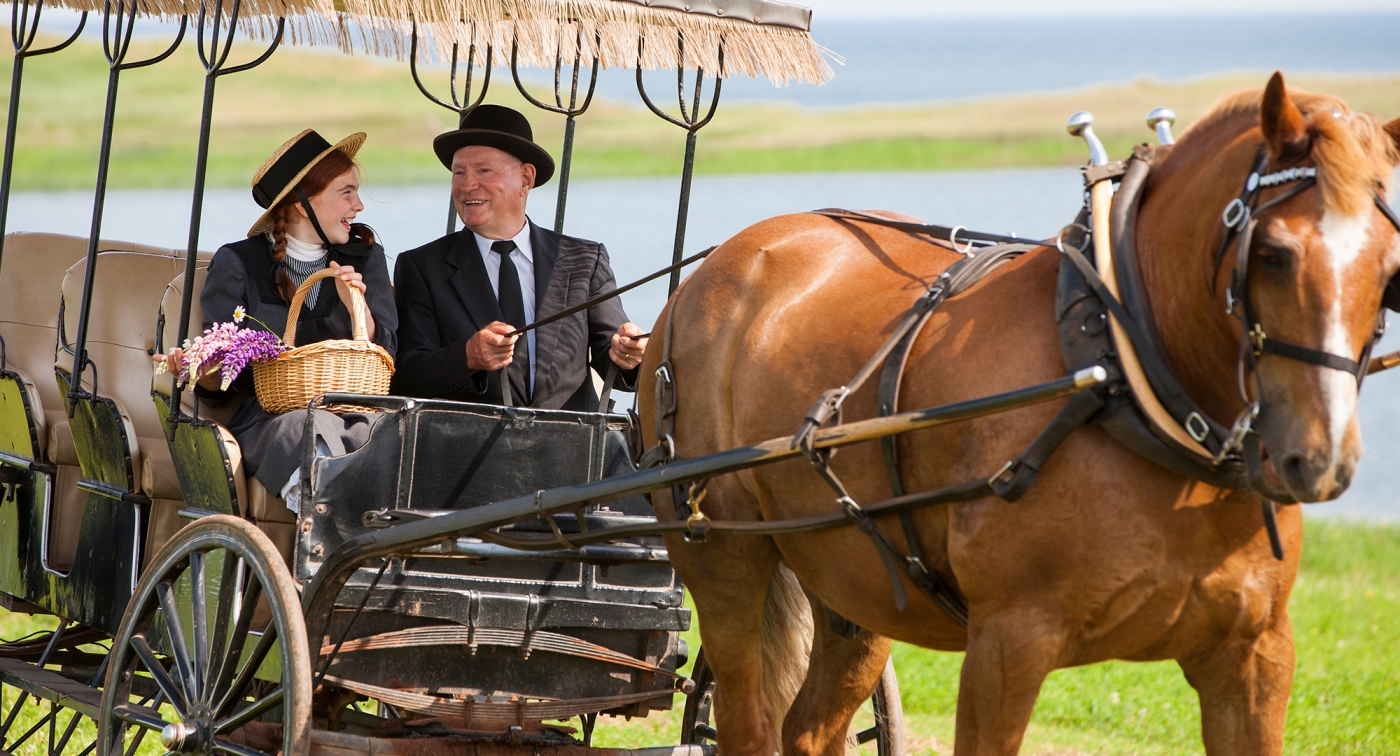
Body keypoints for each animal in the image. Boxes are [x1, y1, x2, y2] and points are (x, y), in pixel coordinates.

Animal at [641, 72, 1400, 756]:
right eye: (1274, 254)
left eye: (1392, 272)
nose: (1321, 459)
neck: (1127, 375)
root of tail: (716, 267)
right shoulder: (1007, 645)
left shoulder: (1255, 656)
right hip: (724, 556)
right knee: (745, 720)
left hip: (852, 583)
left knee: (808, 730)